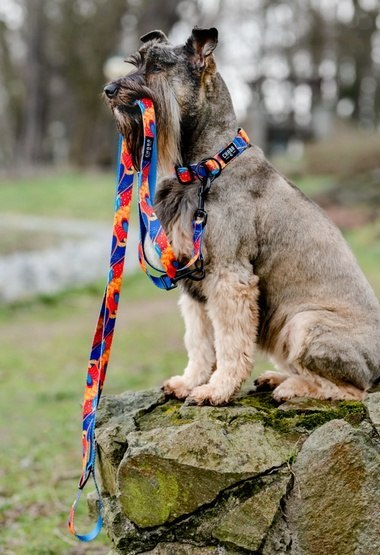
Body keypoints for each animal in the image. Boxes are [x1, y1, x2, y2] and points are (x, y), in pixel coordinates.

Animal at [104, 26, 380, 406]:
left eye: (157, 67)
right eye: (134, 63)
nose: (109, 90)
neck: (206, 165)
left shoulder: (229, 278)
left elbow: (231, 343)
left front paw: (216, 390)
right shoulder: (194, 282)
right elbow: (200, 341)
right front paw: (191, 381)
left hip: (303, 323)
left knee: (349, 390)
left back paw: (291, 388)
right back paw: (276, 378)